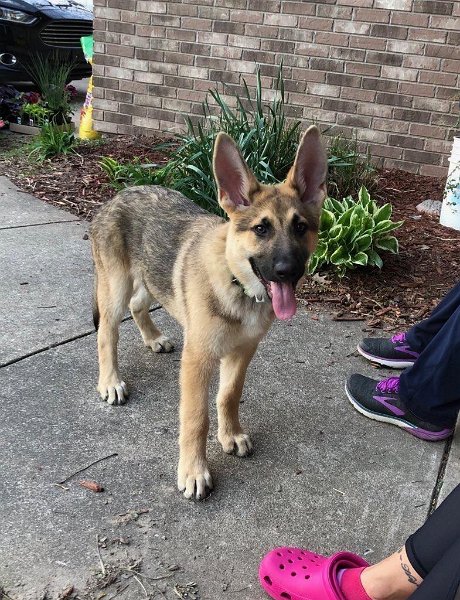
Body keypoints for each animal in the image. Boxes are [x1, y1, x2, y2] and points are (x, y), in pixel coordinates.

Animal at [90, 127, 328, 502]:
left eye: (301, 227)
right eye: (261, 229)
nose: (287, 272)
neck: (237, 284)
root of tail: (116, 196)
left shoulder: (243, 352)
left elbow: (228, 395)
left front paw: (230, 434)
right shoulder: (197, 360)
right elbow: (195, 417)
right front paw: (194, 471)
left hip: (148, 278)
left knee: (138, 305)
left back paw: (154, 338)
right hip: (114, 288)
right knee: (107, 334)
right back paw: (110, 381)